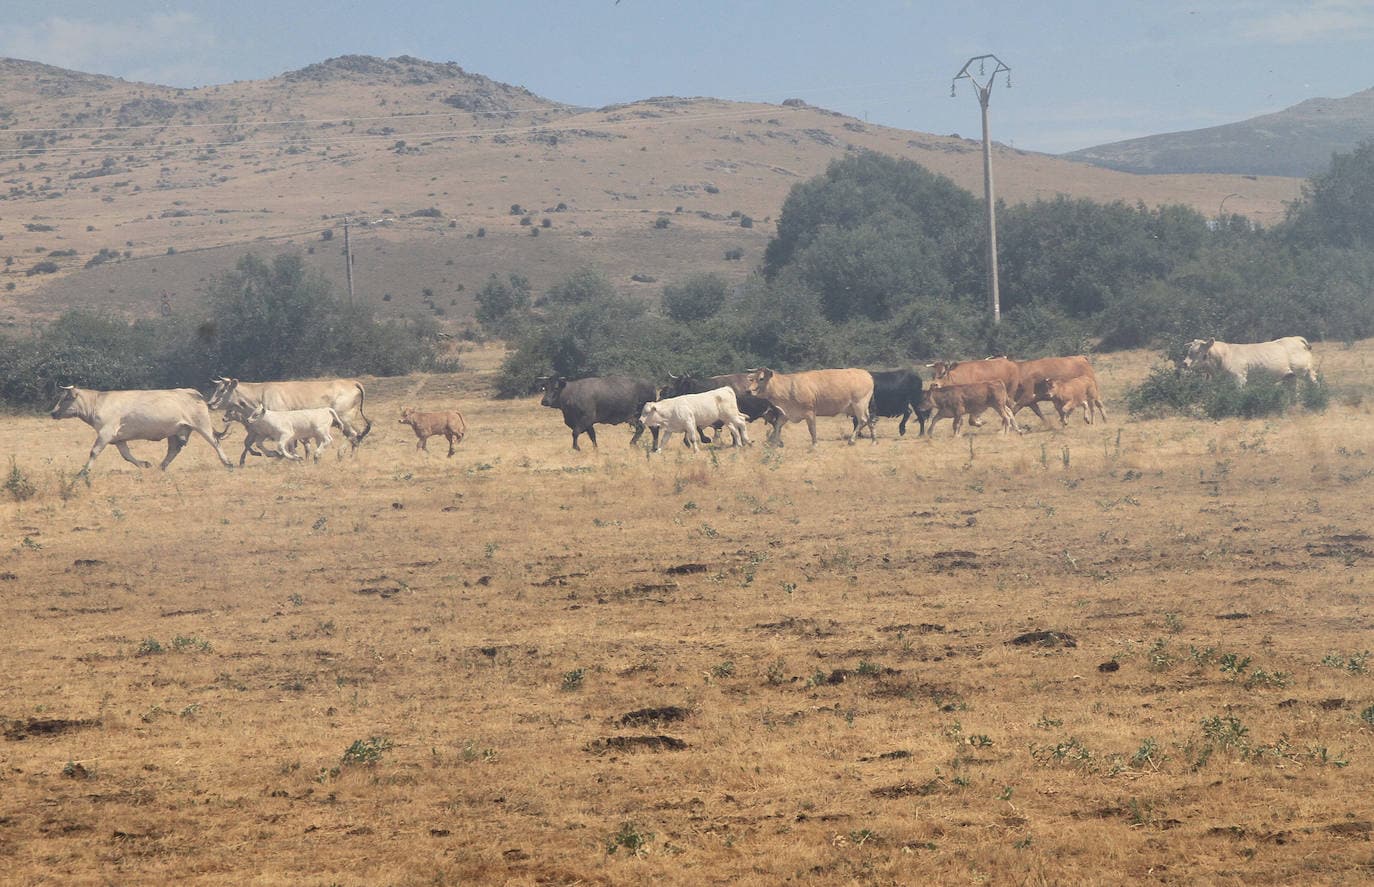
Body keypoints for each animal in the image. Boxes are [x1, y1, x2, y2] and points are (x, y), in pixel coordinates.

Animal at [50, 387, 233, 475]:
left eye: (66, 398)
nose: (52, 412)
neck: (97, 403)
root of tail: (193, 392)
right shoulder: (118, 438)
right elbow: (127, 455)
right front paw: (145, 464)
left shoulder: (105, 432)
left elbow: (94, 451)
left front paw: (84, 472)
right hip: (176, 431)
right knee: (173, 450)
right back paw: (161, 467)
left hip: (202, 424)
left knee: (215, 442)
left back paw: (228, 463)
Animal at [217, 403, 351, 466]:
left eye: (256, 414)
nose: (249, 420)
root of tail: (326, 409)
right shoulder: (268, 436)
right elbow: (260, 444)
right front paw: (276, 455)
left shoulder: (286, 435)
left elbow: (281, 447)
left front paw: (294, 458)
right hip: (318, 435)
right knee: (322, 443)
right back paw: (317, 458)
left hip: (321, 431)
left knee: (328, 440)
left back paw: (317, 454)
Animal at [1181, 337, 1319, 384]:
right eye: (1189, 351)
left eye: (1197, 352)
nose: (1185, 363)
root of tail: (1296, 338)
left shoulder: (1239, 378)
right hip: (1290, 376)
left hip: (1304, 372)